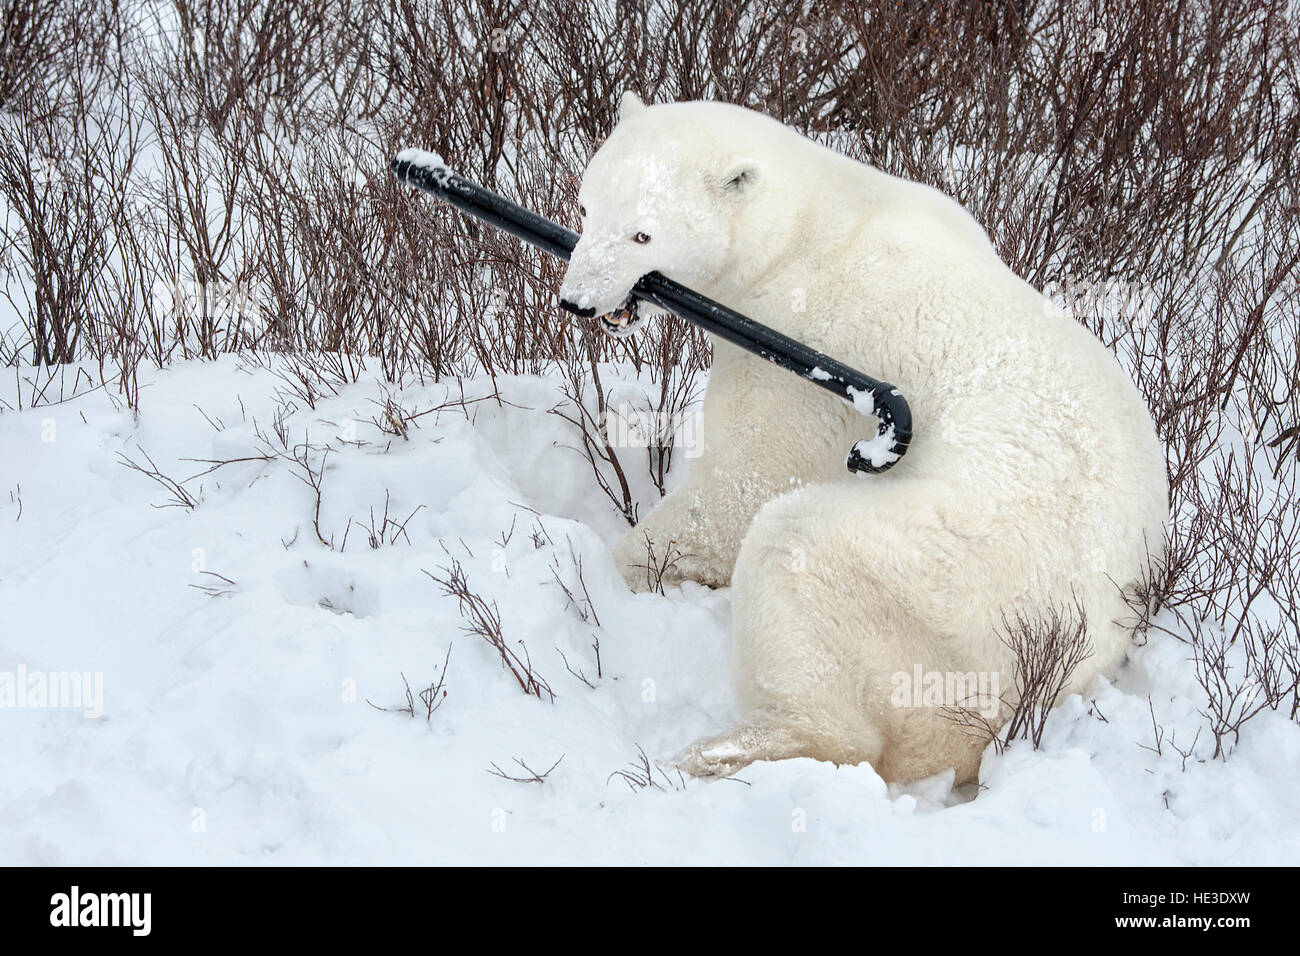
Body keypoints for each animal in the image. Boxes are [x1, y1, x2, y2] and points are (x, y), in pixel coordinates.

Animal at [559, 91, 1170, 785]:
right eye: (587, 205)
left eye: (642, 233)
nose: (577, 301)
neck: (804, 230)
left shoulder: (805, 351)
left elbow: (740, 492)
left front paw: (604, 569)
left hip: (954, 588)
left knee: (795, 546)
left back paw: (719, 750)